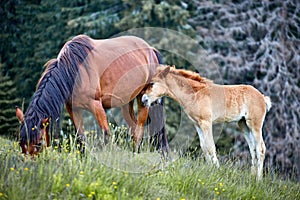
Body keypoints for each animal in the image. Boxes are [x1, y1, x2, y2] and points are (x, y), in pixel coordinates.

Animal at [16, 34, 166, 155]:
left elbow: (106, 134)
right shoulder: (73, 108)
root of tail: (151, 50)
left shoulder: (96, 104)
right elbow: (81, 138)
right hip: (127, 102)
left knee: (139, 131)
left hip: (143, 99)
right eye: (21, 142)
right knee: (134, 128)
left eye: (39, 142)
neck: (73, 69)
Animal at [142, 65, 270, 180]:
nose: (144, 100)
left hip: (255, 124)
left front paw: (217, 172)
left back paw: (258, 180)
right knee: (253, 148)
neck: (195, 94)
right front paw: (210, 170)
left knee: (261, 148)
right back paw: (252, 177)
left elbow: (210, 146)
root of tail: (262, 97)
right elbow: (204, 147)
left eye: (152, 83)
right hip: (243, 124)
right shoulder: (197, 124)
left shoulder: (206, 123)